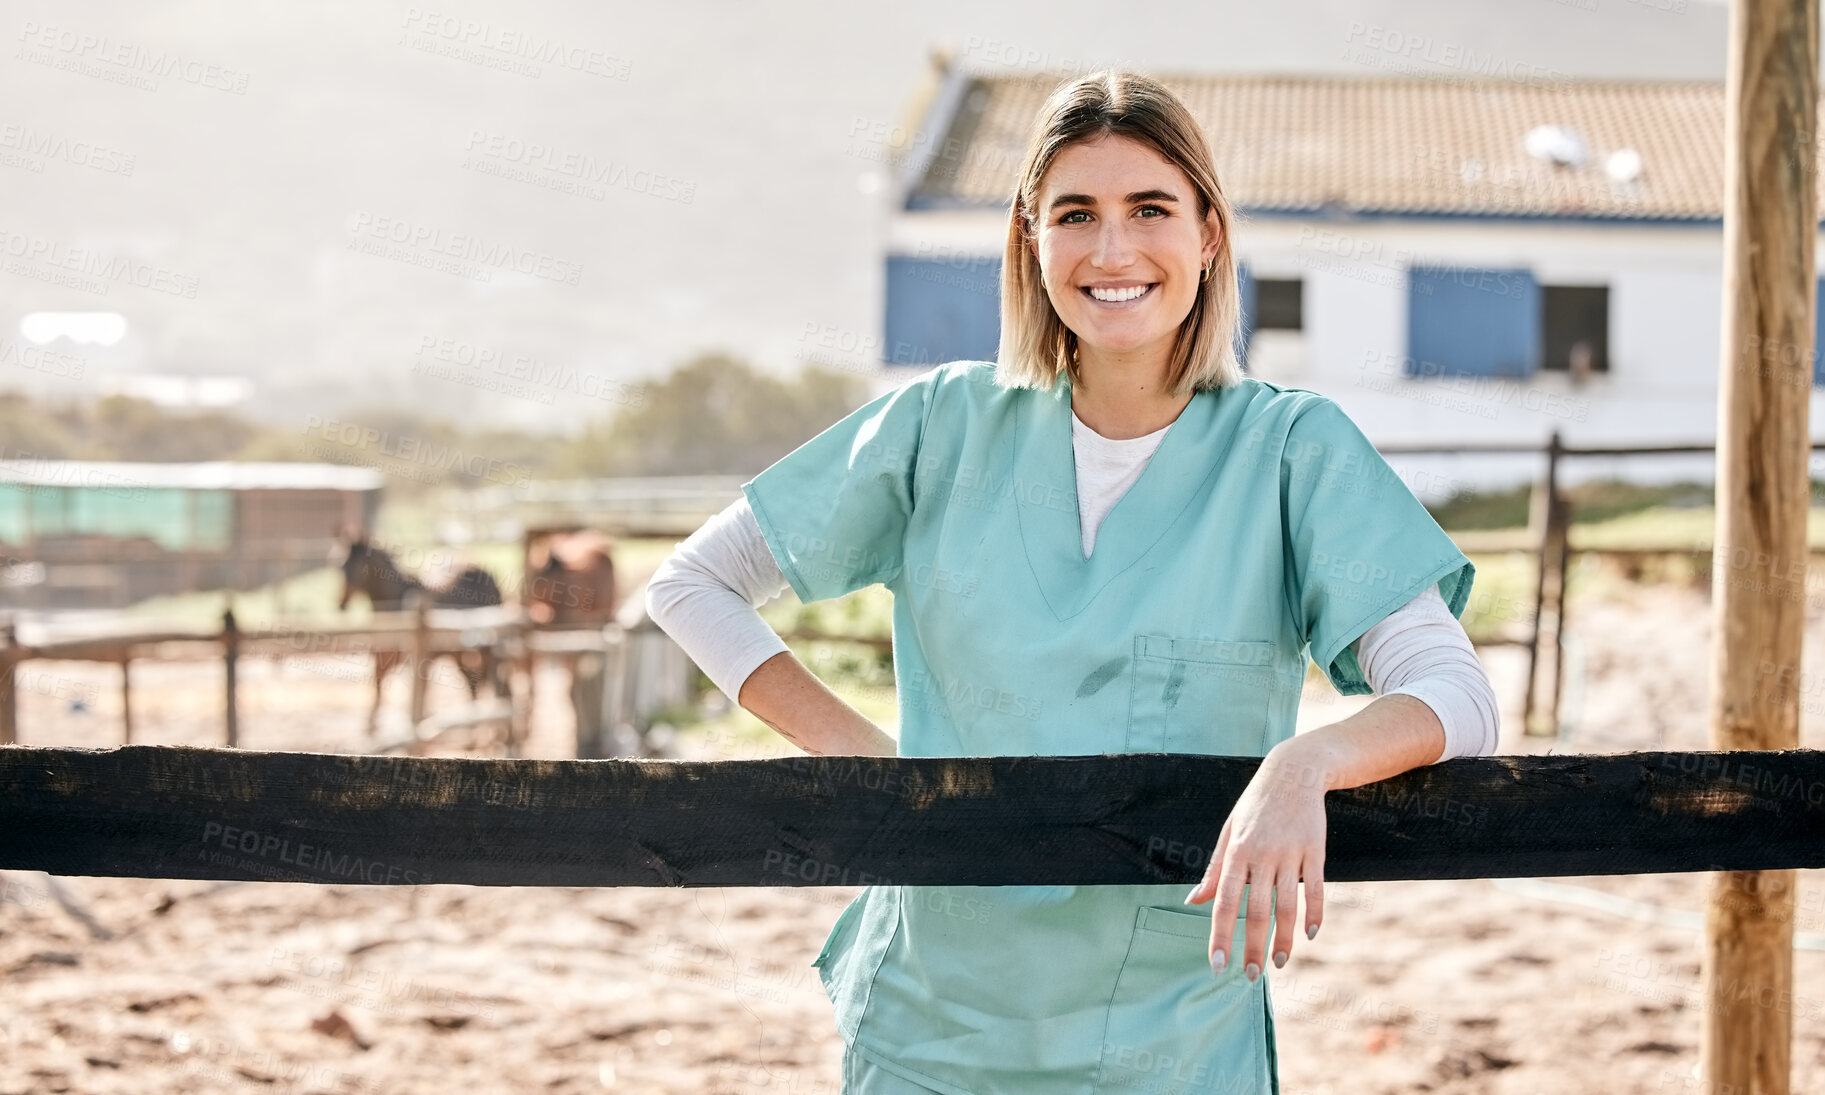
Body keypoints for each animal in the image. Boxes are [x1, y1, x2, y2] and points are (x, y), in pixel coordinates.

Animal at [333, 532, 507, 730]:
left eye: (356, 566)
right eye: (338, 563)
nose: (340, 605)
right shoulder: (383, 657)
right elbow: (377, 683)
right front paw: (372, 726)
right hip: (459, 652)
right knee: (474, 682)